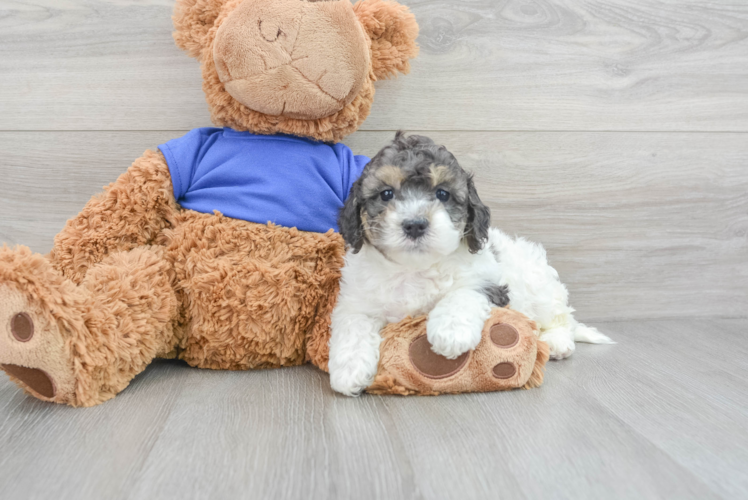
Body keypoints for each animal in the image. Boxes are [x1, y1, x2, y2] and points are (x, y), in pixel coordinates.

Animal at [330, 132, 612, 394]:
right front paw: (349, 371)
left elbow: (463, 293)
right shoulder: (356, 301)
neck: (414, 268)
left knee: (562, 318)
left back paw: (556, 341)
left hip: (539, 286)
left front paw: (450, 332)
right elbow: (353, 324)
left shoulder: (488, 282)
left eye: (442, 194)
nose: (415, 224)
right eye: (386, 194)